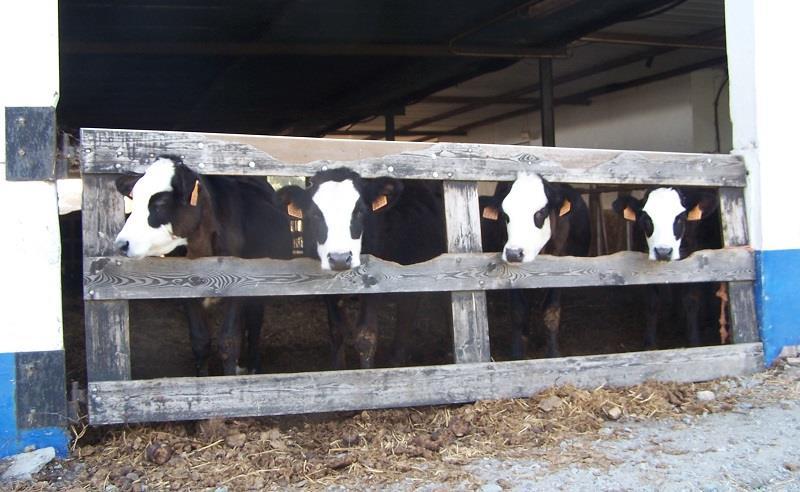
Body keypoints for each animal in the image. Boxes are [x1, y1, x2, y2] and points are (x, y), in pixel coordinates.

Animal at [114, 156, 292, 374]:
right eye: (134, 198)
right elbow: (200, 342)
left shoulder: (240, 286)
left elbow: (229, 341)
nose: (122, 244)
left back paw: (252, 367)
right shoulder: (185, 289)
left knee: (254, 324)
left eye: (161, 202)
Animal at [278, 167, 446, 368]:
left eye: (359, 212)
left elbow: (366, 336)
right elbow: (336, 331)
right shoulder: (326, 287)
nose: (340, 258)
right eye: (315, 214)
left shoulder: (375, 281)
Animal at [478, 175, 592, 360]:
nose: (514, 253)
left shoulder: (560, 269)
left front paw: (553, 353)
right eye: (505, 214)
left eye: (540, 212)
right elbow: (519, 311)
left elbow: (551, 311)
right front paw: (517, 353)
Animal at [616, 186, 720, 348]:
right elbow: (652, 303)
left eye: (680, 218)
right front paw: (650, 344)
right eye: (646, 218)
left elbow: (690, 301)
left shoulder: (692, 262)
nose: (663, 251)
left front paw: (694, 341)